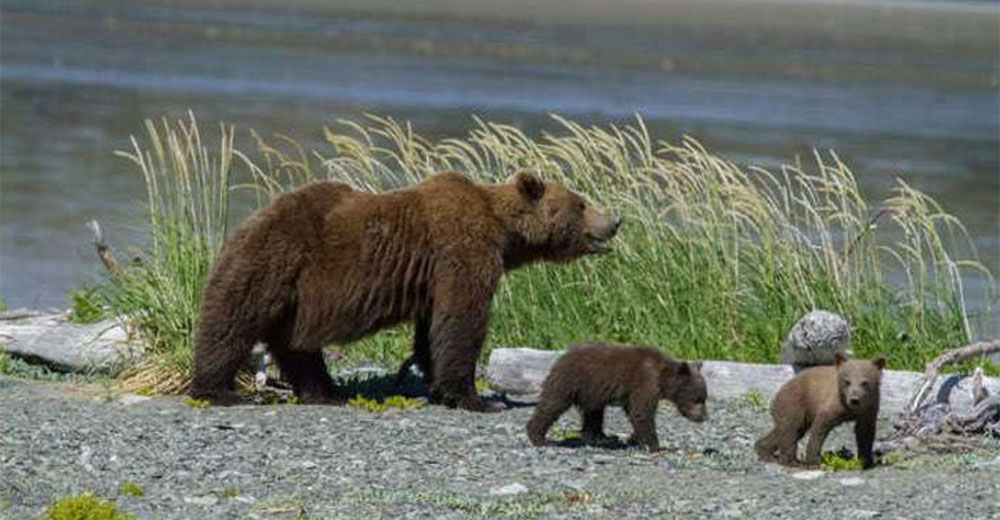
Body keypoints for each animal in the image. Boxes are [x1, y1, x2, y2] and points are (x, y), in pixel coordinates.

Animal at [188, 171, 616, 410]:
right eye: (581, 203)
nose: (615, 222)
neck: (504, 233)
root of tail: (246, 222)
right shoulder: (462, 250)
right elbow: (463, 320)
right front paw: (473, 397)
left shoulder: (434, 277)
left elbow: (433, 329)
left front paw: (437, 383)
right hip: (272, 261)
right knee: (231, 322)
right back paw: (217, 389)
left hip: (294, 297)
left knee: (296, 345)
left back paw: (324, 391)